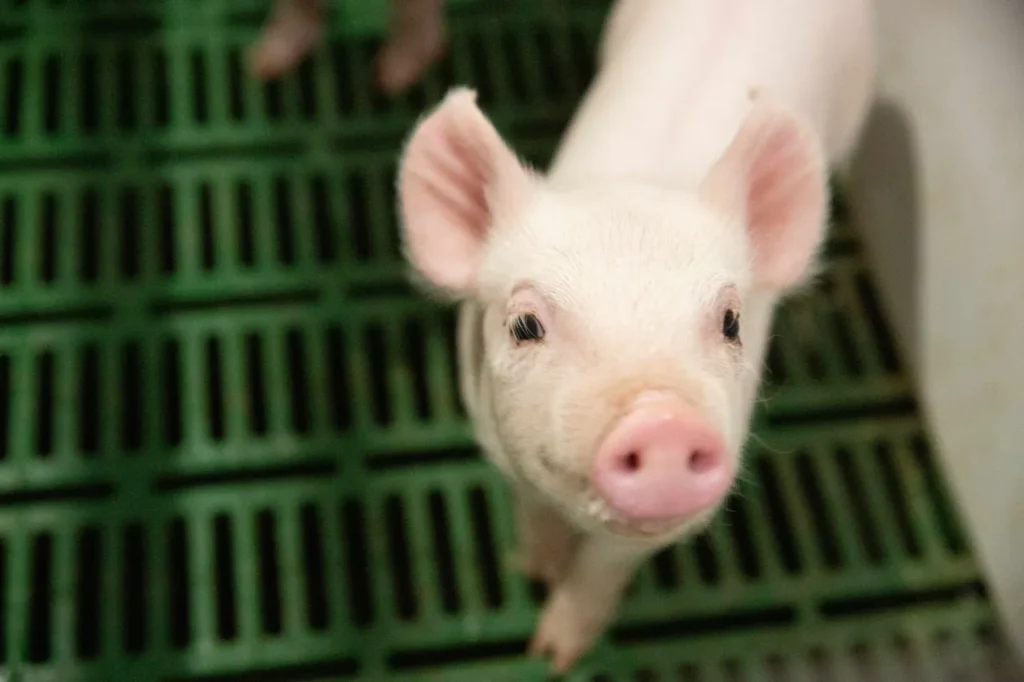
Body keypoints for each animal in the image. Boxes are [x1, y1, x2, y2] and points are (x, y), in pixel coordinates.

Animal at [395, 0, 876, 672]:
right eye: (524, 325)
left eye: (731, 322)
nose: (663, 419)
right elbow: (533, 510)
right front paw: (534, 572)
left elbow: (603, 569)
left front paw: (554, 655)